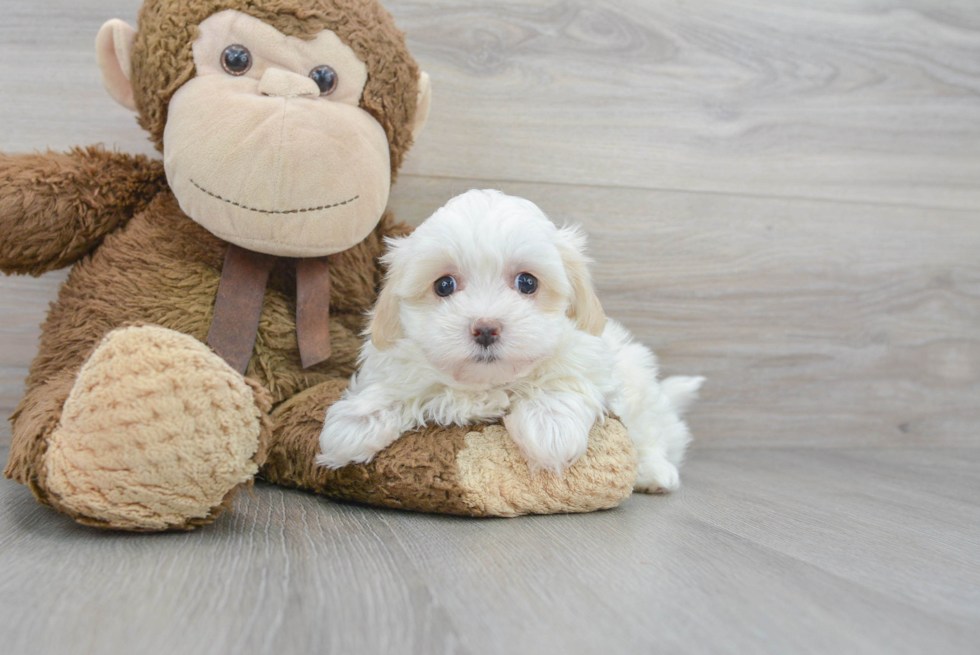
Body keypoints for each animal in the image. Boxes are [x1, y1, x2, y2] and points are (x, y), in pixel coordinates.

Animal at [320, 190, 704, 492]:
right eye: (444, 285)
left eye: (527, 282)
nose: (486, 328)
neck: (487, 384)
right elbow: (393, 385)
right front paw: (353, 424)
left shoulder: (590, 353)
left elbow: (563, 379)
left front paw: (550, 427)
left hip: (640, 385)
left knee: (653, 433)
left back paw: (655, 473)